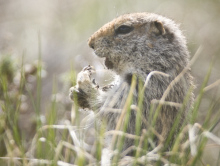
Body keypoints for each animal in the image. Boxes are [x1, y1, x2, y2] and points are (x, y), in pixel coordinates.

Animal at [69, 12, 193, 153]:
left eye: (124, 29)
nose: (90, 42)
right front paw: (75, 91)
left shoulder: (144, 88)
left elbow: (116, 112)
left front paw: (84, 81)